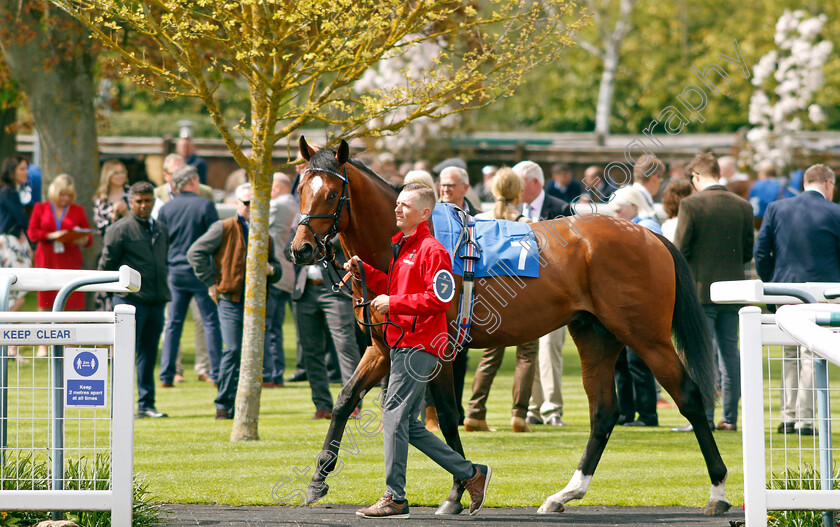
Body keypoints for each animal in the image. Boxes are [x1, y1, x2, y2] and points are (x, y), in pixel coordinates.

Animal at [288, 136, 728, 516]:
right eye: (301, 189)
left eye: (331, 194)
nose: (301, 249)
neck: (404, 244)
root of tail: (649, 236)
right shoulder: (383, 348)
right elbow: (345, 400)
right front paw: (317, 479)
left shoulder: (438, 350)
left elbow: (446, 415)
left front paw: (458, 492)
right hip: (595, 334)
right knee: (604, 412)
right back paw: (566, 493)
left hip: (646, 336)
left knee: (689, 397)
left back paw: (718, 491)